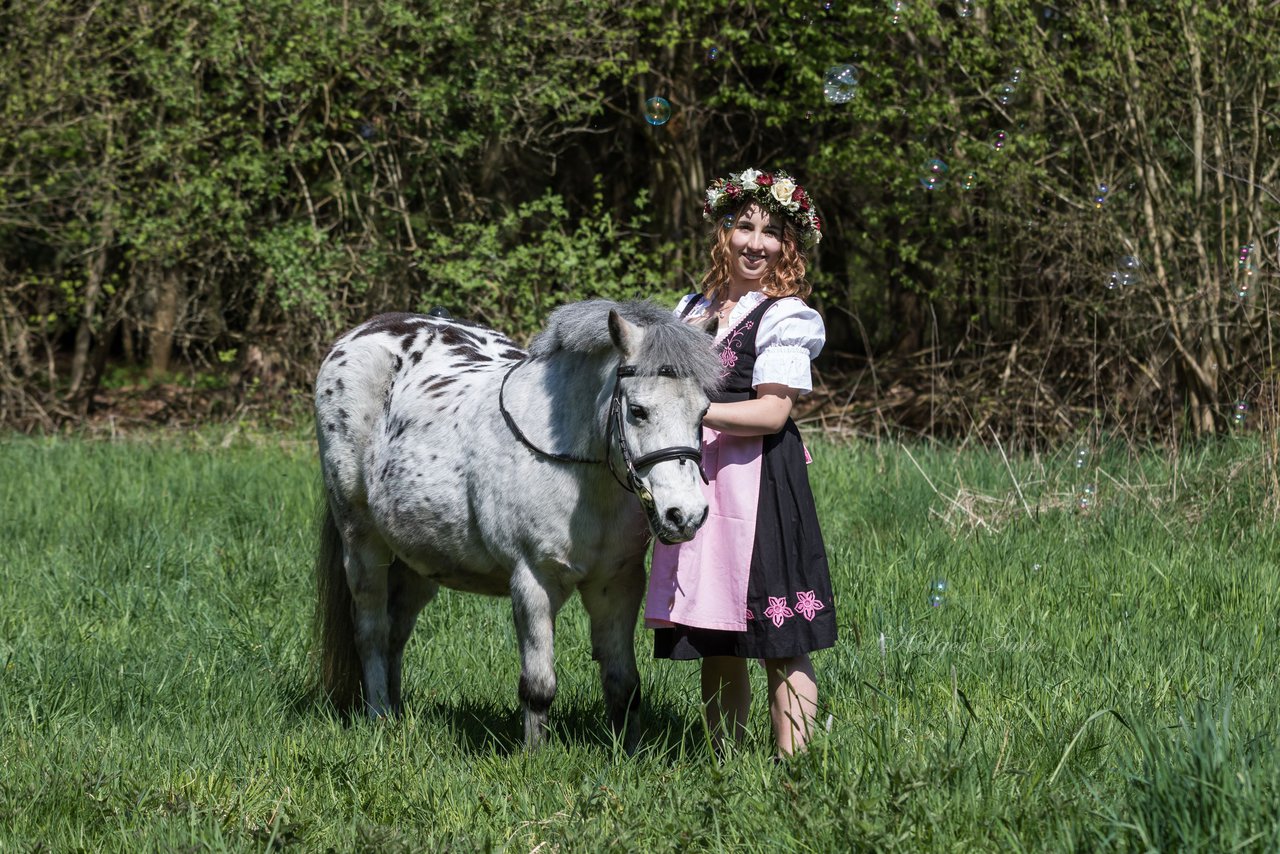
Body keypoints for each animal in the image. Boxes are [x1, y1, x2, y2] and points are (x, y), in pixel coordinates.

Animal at [313, 300, 721, 747]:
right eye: (638, 411)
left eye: (703, 412)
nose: (685, 515)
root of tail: (360, 335)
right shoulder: (533, 580)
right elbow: (538, 685)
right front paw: (533, 754)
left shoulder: (617, 584)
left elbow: (623, 684)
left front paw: (626, 752)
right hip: (362, 542)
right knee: (371, 630)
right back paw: (380, 717)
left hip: (416, 561)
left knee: (395, 633)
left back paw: (399, 713)